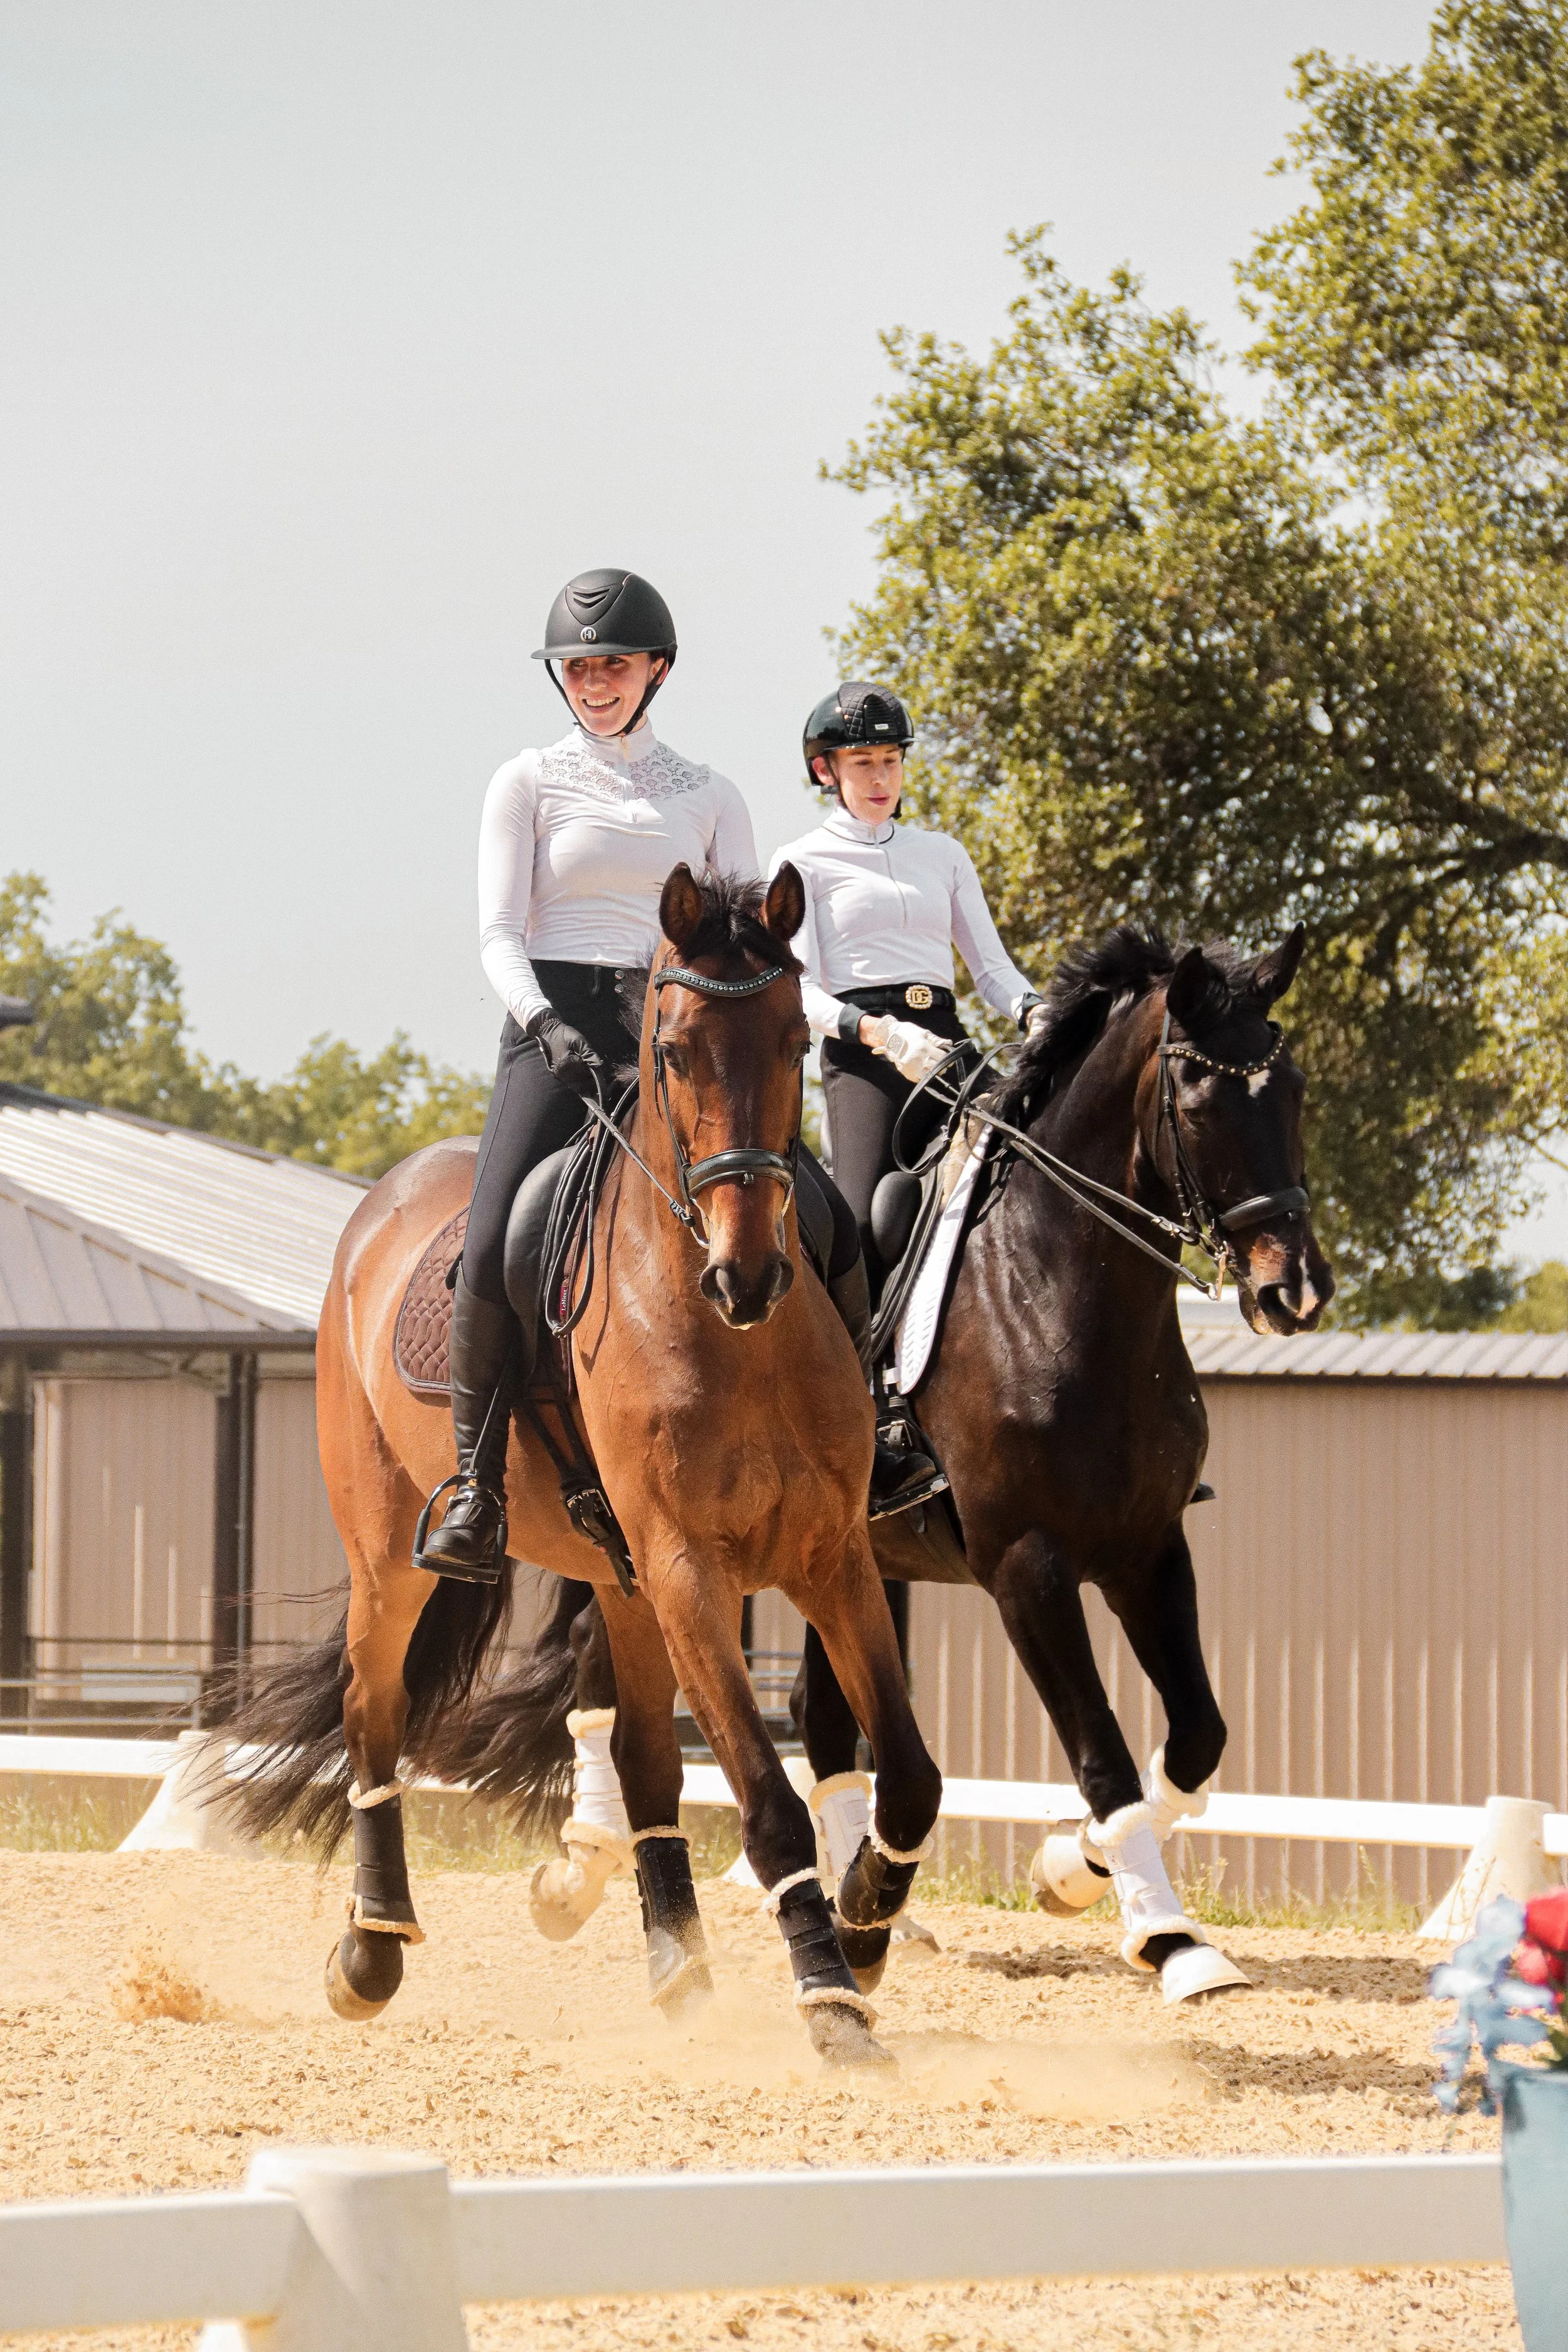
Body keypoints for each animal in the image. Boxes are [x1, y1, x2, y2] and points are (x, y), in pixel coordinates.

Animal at [224, 862, 942, 2067]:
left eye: (797, 1037)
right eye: (674, 1050)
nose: (748, 1273)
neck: (729, 1333)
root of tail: (378, 1205)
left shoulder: (830, 1553)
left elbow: (912, 1777)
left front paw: (863, 1926)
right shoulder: (691, 1564)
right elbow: (768, 1799)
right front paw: (832, 1999)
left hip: (621, 1580)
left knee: (645, 1756)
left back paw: (681, 1974)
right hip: (395, 1557)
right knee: (373, 1715)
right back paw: (371, 1950)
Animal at [496, 923, 1332, 2005]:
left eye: (1295, 1089)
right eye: (1198, 1099)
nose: (1295, 1291)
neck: (1059, 1289)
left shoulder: (1150, 1545)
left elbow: (1194, 1739)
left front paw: (1067, 1870)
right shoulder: (1027, 1564)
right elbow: (1105, 1754)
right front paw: (1168, 1935)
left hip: (843, 1557)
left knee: (818, 1716)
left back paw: (865, 1901)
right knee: (610, 1682)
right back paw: (588, 1865)